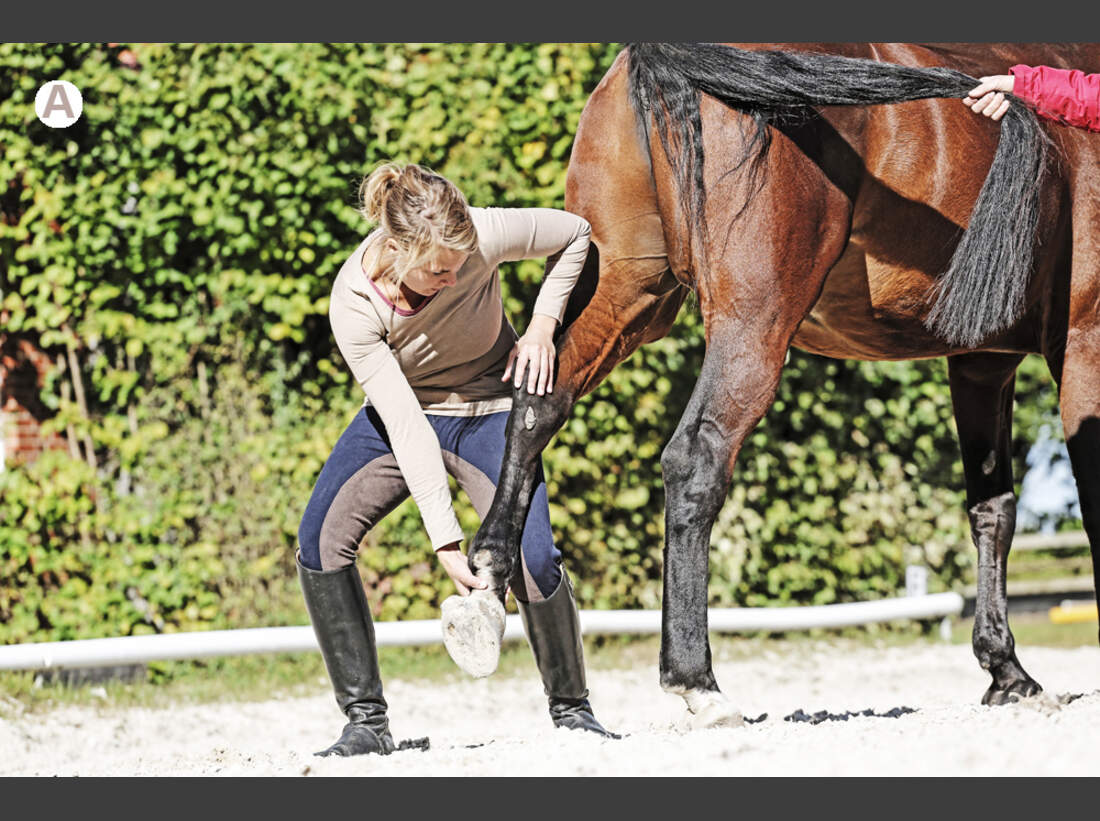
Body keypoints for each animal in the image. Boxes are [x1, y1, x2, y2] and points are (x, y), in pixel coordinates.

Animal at [458, 42, 1100, 726]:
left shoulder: (982, 360)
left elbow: (992, 510)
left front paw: (1008, 674)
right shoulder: (1081, 343)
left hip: (625, 292)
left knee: (538, 403)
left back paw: (488, 576)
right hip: (755, 322)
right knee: (695, 458)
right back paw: (697, 681)